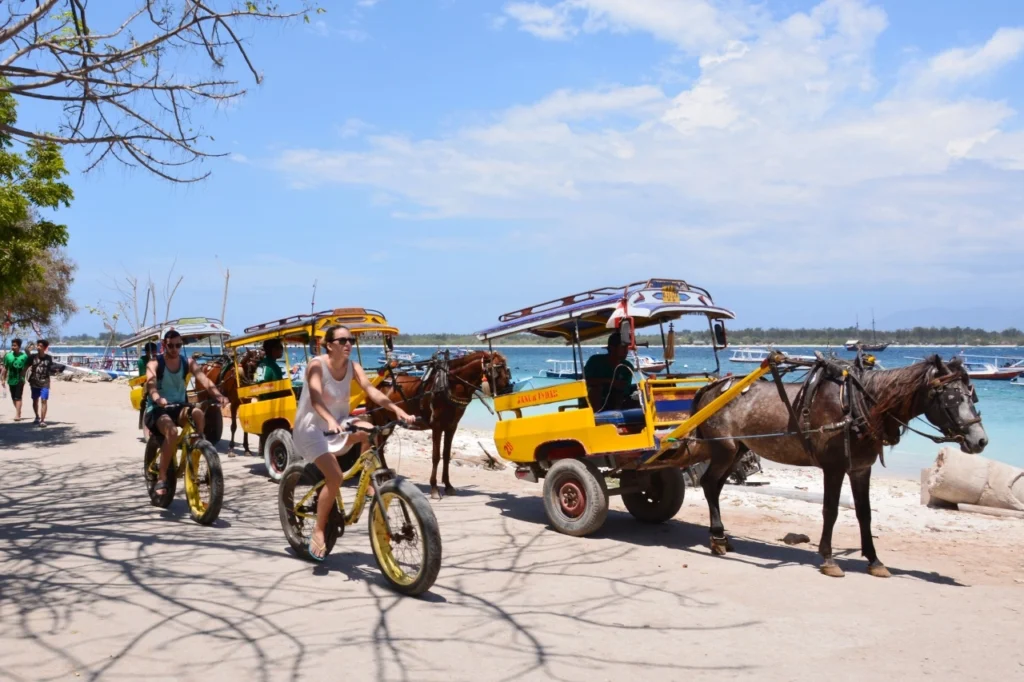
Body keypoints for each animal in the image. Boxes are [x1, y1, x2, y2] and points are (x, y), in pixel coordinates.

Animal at [366, 350, 512, 499]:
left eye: (507, 369)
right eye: (496, 369)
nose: (509, 388)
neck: (449, 386)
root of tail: (376, 384)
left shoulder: (451, 427)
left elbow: (446, 455)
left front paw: (448, 485)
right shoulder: (437, 426)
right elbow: (436, 456)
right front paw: (434, 488)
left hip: (389, 424)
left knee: (380, 447)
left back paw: (385, 475)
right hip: (381, 422)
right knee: (378, 448)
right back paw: (383, 475)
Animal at [692, 352, 987, 577]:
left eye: (972, 396)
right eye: (951, 397)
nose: (980, 440)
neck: (856, 406)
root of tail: (710, 388)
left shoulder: (860, 468)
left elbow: (864, 513)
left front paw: (874, 560)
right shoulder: (833, 468)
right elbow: (830, 511)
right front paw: (828, 559)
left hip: (737, 451)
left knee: (715, 487)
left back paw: (720, 537)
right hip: (724, 449)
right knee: (708, 484)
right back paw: (717, 538)